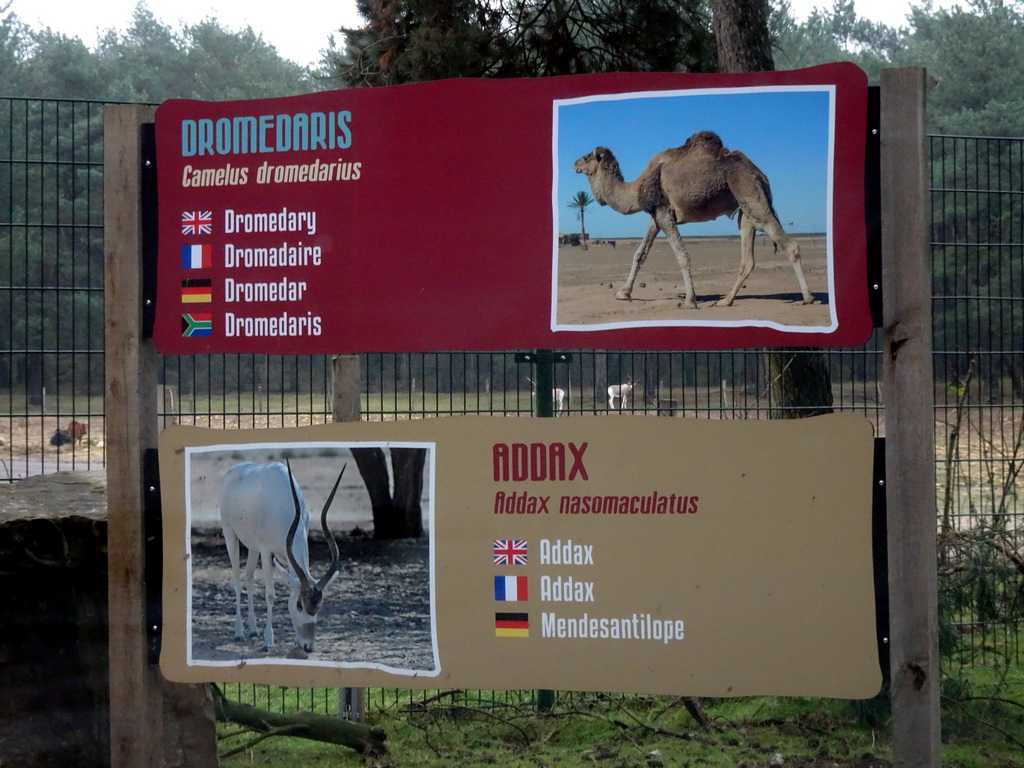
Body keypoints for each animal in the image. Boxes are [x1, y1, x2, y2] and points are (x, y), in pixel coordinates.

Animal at [218, 460, 346, 651]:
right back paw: (239, 632)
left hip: (253, 547)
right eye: (299, 605)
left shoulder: (285, 555)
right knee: (237, 581)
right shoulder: (266, 551)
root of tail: (234, 469)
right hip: (230, 533)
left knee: (248, 576)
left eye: (319, 606)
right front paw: (269, 641)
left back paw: (253, 629)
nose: (308, 647)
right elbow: (270, 594)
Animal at [573, 132, 811, 309]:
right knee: (748, 258)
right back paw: (725, 301)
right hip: (745, 208)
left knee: (789, 245)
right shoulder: (658, 215)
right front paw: (623, 293)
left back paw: (808, 297)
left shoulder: (664, 214)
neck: (637, 188)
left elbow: (682, 256)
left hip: (750, 195)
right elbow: (640, 254)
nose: (574, 163)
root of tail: (760, 174)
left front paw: (689, 301)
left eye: (587, 157)